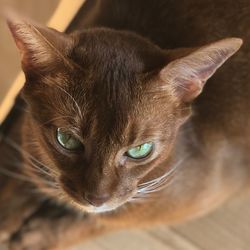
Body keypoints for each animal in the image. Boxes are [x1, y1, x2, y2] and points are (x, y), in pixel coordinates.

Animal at [1, 0, 250, 249]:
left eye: (140, 150)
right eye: (67, 139)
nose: (96, 199)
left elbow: (99, 223)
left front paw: (37, 237)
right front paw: (9, 214)